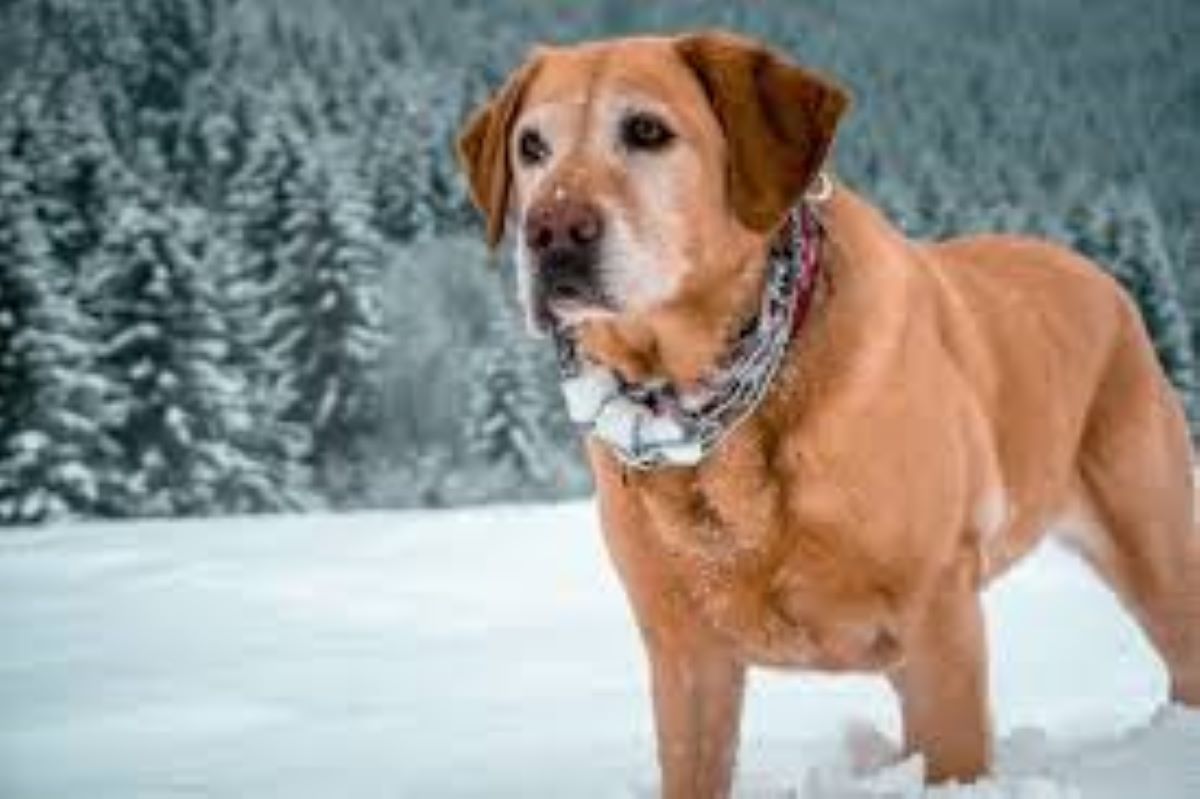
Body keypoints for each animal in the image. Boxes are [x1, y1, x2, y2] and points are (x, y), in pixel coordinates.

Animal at [451, 31, 1200, 796]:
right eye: (531, 147)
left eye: (647, 131)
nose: (552, 231)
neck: (714, 406)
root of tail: (1094, 272)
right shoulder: (684, 652)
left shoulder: (940, 618)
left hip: (1155, 551)